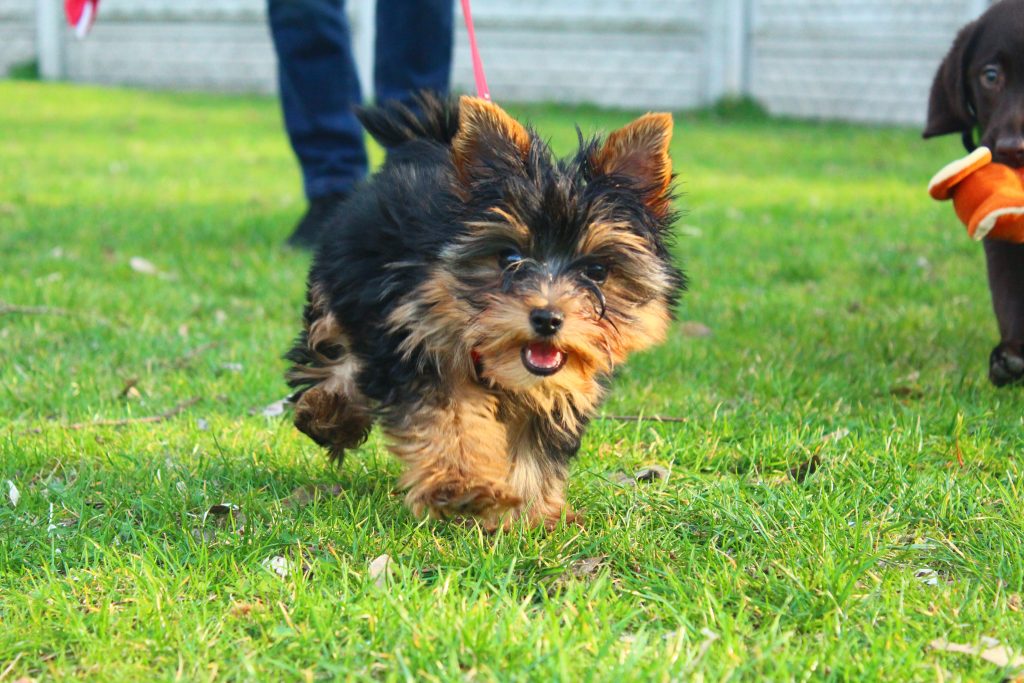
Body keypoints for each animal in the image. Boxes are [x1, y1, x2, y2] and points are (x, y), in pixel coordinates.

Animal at [284, 93, 684, 528]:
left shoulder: (559, 389)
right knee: (335, 342)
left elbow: (535, 447)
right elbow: (449, 416)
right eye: (508, 257)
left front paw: (533, 514)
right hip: (344, 277)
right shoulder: (422, 338)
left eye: (596, 271)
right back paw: (331, 411)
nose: (547, 318)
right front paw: (462, 487)